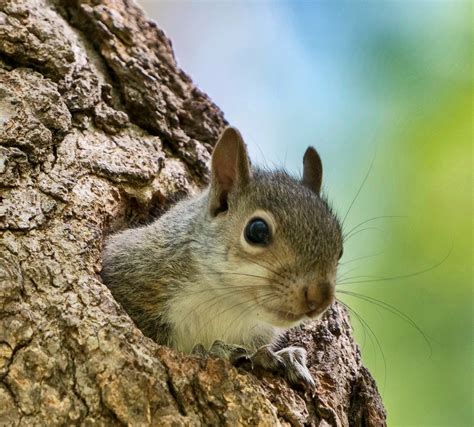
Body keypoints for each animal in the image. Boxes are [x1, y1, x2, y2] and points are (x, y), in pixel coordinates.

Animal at [102, 128, 342, 388]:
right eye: (257, 231)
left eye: (340, 248)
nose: (320, 298)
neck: (228, 303)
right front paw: (214, 350)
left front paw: (286, 357)